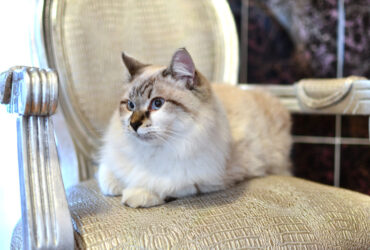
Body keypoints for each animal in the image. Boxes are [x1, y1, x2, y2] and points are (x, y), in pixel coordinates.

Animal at [97, 47, 292, 208]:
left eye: (157, 103)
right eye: (130, 105)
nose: (134, 124)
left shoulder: (200, 179)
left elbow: (162, 185)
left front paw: (136, 194)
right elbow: (107, 172)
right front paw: (115, 185)